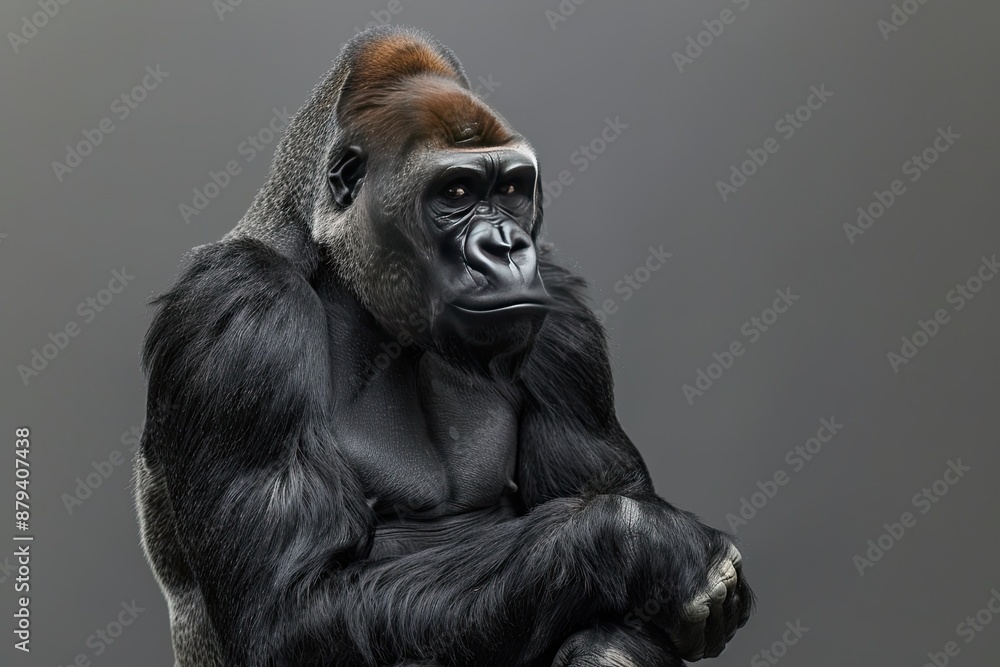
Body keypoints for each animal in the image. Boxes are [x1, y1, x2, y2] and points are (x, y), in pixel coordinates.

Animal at [135, 25, 752, 667]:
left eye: (512, 189)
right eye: (455, 192)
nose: (507, 247)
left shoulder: (561, 314)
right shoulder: (241, 311)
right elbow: (288, 611)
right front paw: (644, 542)